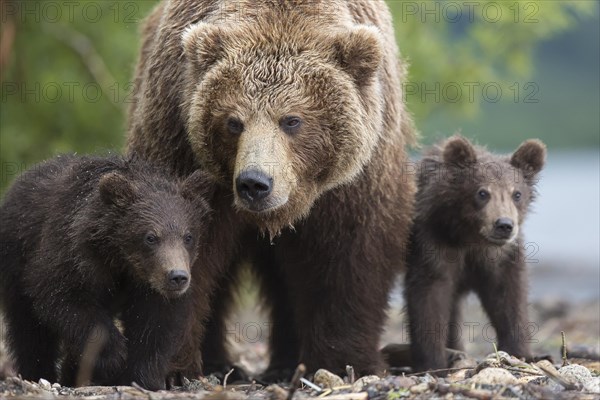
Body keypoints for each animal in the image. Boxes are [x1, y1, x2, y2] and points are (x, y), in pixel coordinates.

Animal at [128, 0, 414, 380]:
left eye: (292, 120)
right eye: (233, 121)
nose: (254, 183)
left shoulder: (359, 175)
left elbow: (351, 252)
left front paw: (343, 361)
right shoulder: (181, 141)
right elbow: (181, 248)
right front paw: (173, 366)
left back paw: (284, 364)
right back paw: (222, 363)